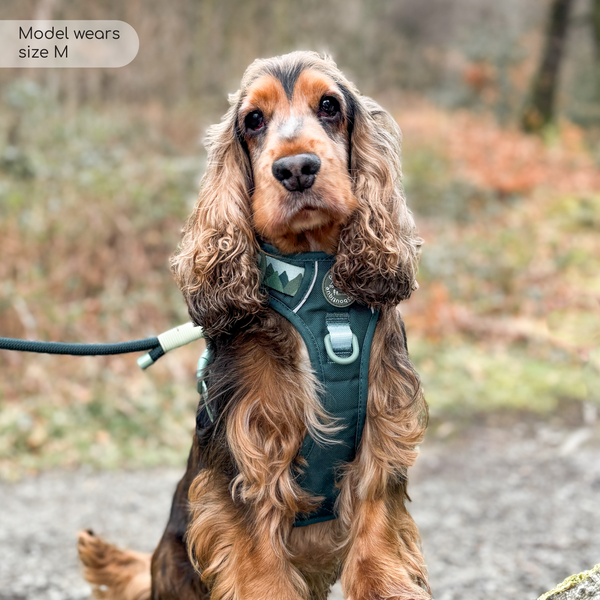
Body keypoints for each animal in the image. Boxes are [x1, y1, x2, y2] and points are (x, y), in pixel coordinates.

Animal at [77, 50, 428, 600]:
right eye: (254, 120)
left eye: (330, 105)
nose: (296, 168)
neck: (317, 287)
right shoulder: (248, 455)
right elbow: (261, 568)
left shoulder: (382, 428)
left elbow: (376, 542)